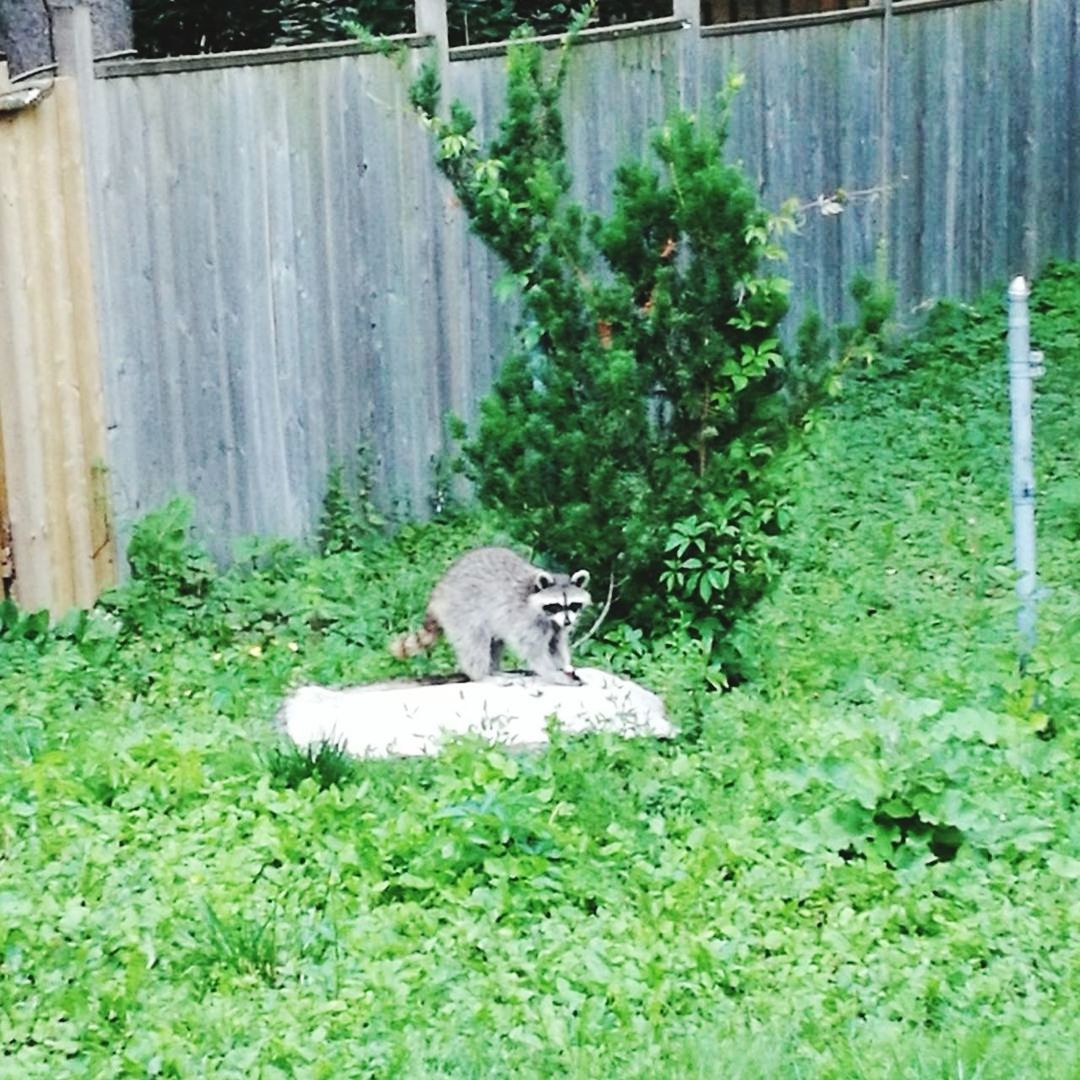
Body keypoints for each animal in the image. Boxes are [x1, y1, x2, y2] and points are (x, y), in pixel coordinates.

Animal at [388, 544, 591, 686]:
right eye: (556, 606)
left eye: (573, 605)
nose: (568, 622)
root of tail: (438, 593)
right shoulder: (526, 619)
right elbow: (534, 651)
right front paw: (553, 674)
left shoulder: (556, 625)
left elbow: (556, 644)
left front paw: (564, 665)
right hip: (461, 610)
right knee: (475, 641)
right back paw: (482, 676)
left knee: (495, 642)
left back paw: (494, 670)